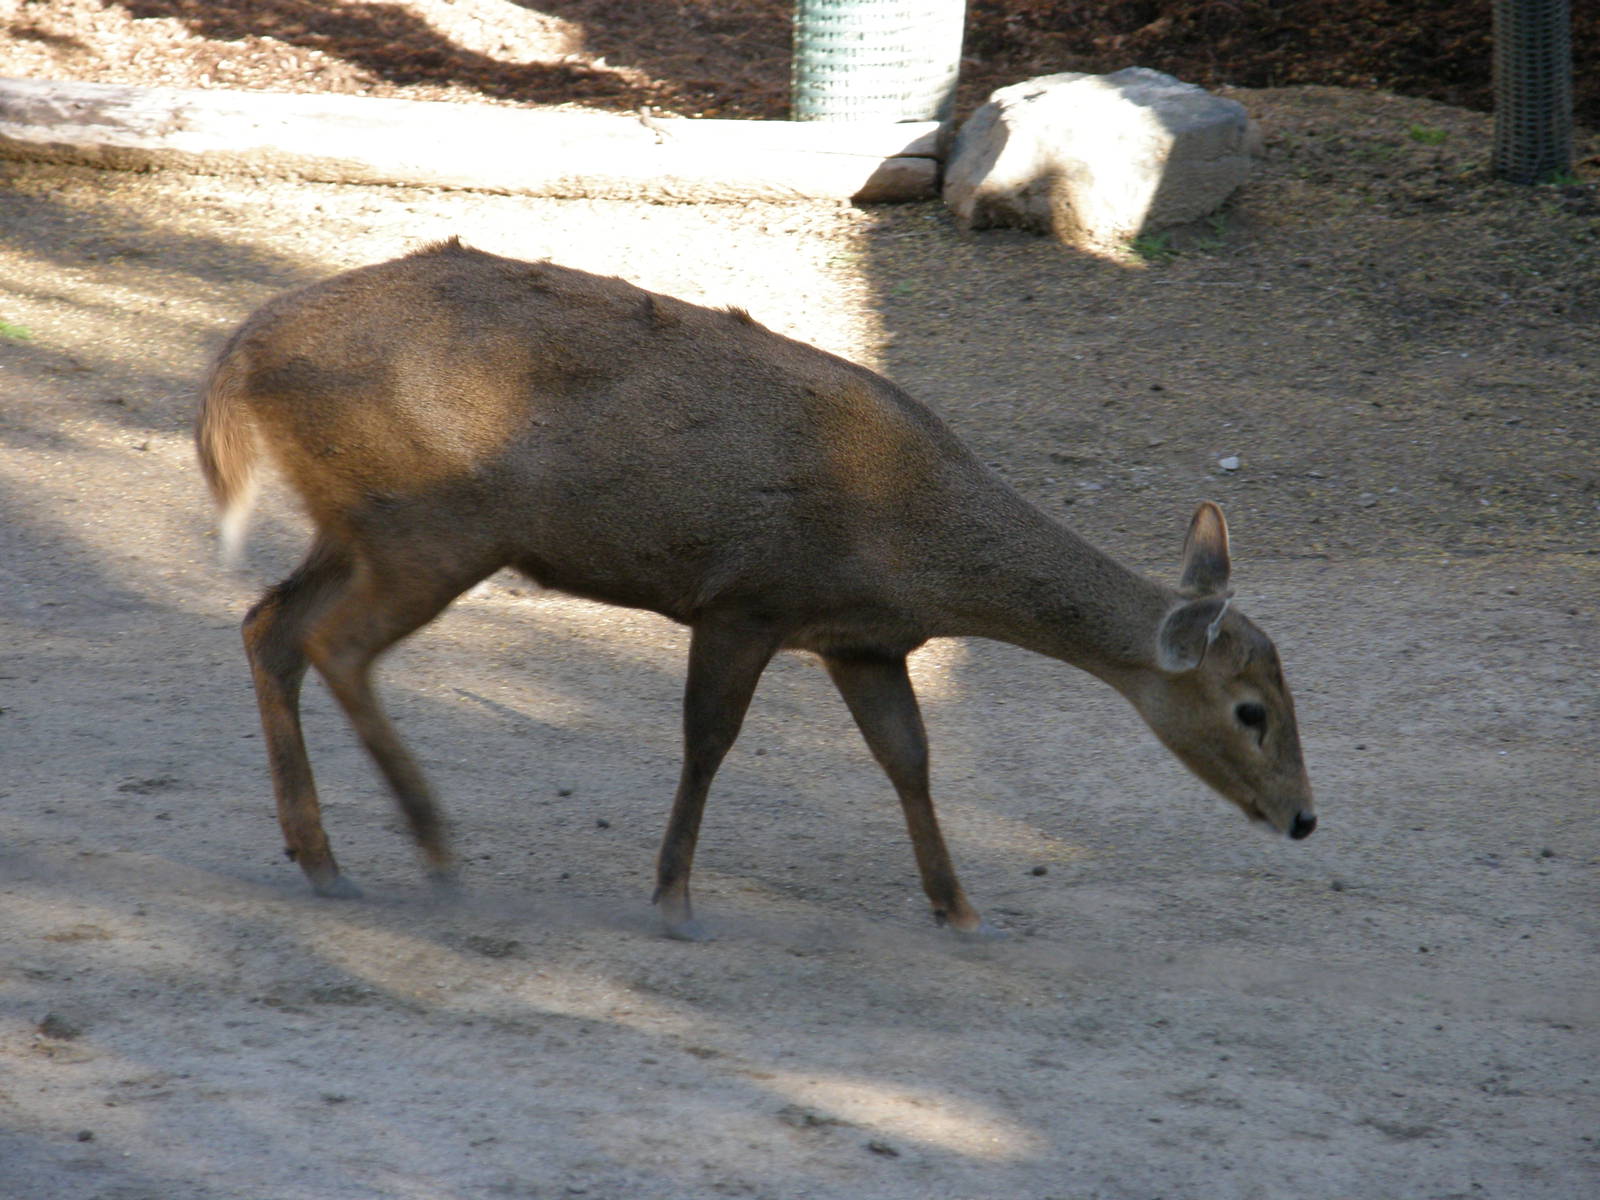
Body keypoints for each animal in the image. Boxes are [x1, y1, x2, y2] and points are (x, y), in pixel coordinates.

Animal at [195, 238, 1314, 940]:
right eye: (1251, 710)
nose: (1303, 819)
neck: (915, 547)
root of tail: (238, 357)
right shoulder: (749, 598)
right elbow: (709, 742)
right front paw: (672, 899)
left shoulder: (864, 641)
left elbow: (910, 760)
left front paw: (960, 909)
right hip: (434, 524)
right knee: (334, 643)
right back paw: (430, 848)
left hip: (360, 524)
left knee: (267, 624)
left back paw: (322, 857)